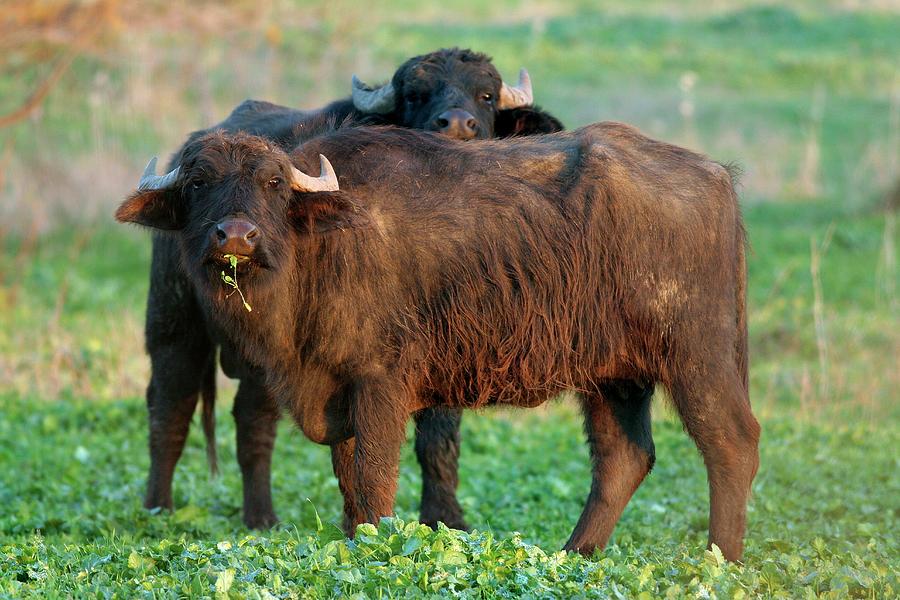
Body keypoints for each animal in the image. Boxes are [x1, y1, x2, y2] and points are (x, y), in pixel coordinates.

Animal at [146, 49, 568, 532]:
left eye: (486, 96)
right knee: (170, 407)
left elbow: (439, 435)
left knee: (253, 417)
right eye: (415, 95)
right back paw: (159, 509)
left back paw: (261, 517)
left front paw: (445, 517)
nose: (458, 124)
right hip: (174, 320)